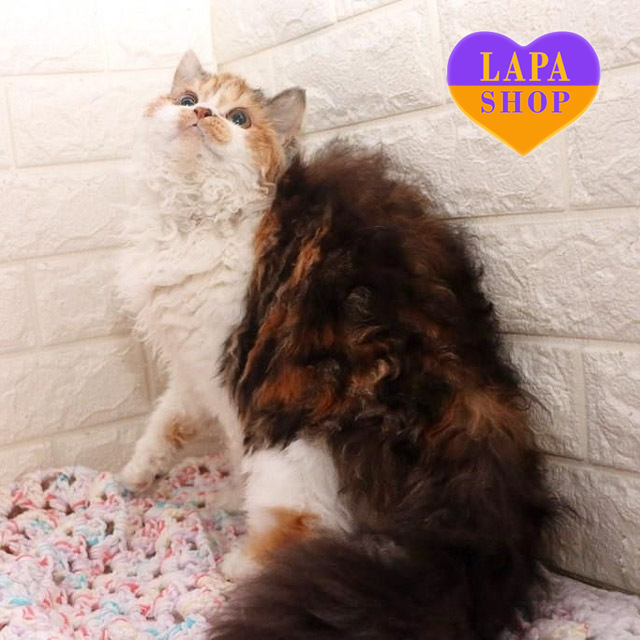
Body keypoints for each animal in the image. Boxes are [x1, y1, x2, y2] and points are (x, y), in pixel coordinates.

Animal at [119, 51, 557, 639]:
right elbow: (166, 423)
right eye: (188, 100)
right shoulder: (192, 367)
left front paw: (229, 498)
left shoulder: (227, 367)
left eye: (239, 119)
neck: (191, 218)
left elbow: (231, 447)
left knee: (305, 522)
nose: (202, 113)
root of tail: (472, 405)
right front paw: (141, 473)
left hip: (293, 440)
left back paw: (242, 566)